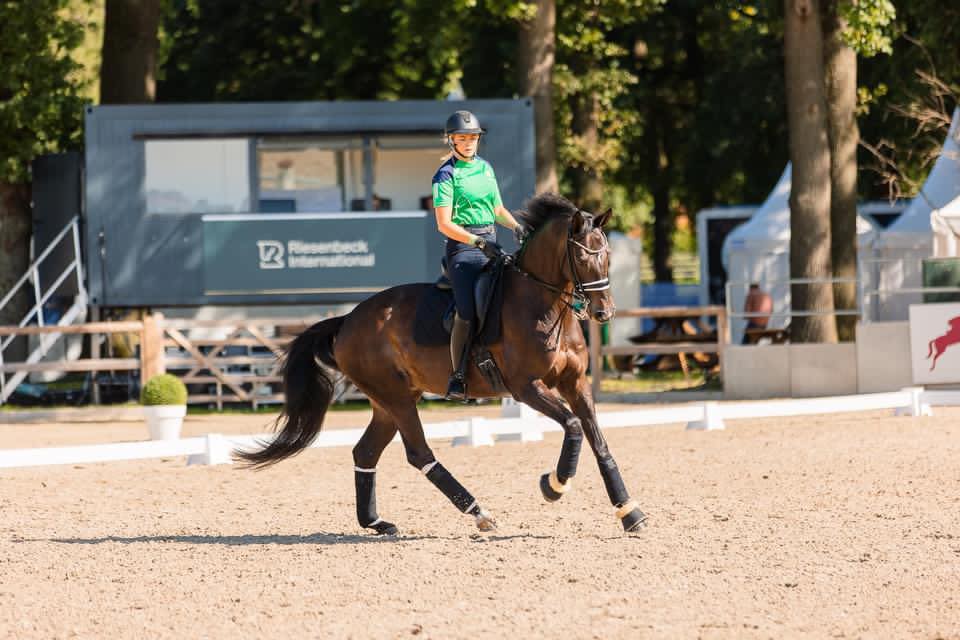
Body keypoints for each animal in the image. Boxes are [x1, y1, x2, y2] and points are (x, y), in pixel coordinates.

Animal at [235, 193, 647, 535]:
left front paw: (629, 512)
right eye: (582, 256)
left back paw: (377, 522)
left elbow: (598, 441)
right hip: (397, 398)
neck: (541, 302)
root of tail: (347, 320)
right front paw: (554, 484)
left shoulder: (574, 383)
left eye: (607, 255)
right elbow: (574, 426)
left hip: (388, 402)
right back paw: (480, 513)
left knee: (365, 452)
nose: (604, 312)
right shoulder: (526, 387)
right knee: (419, 454)